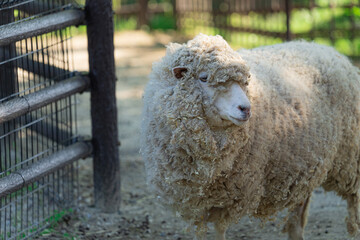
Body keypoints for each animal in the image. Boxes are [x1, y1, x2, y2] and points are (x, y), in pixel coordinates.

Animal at [140, 34, 360, 240]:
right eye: (203, 78)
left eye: (244, 82)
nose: (246, 108)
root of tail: (327, 49)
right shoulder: (197, 201)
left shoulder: (226, 198)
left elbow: (219, 231)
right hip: (307, 164)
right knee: (299, 210)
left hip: (351, 159)